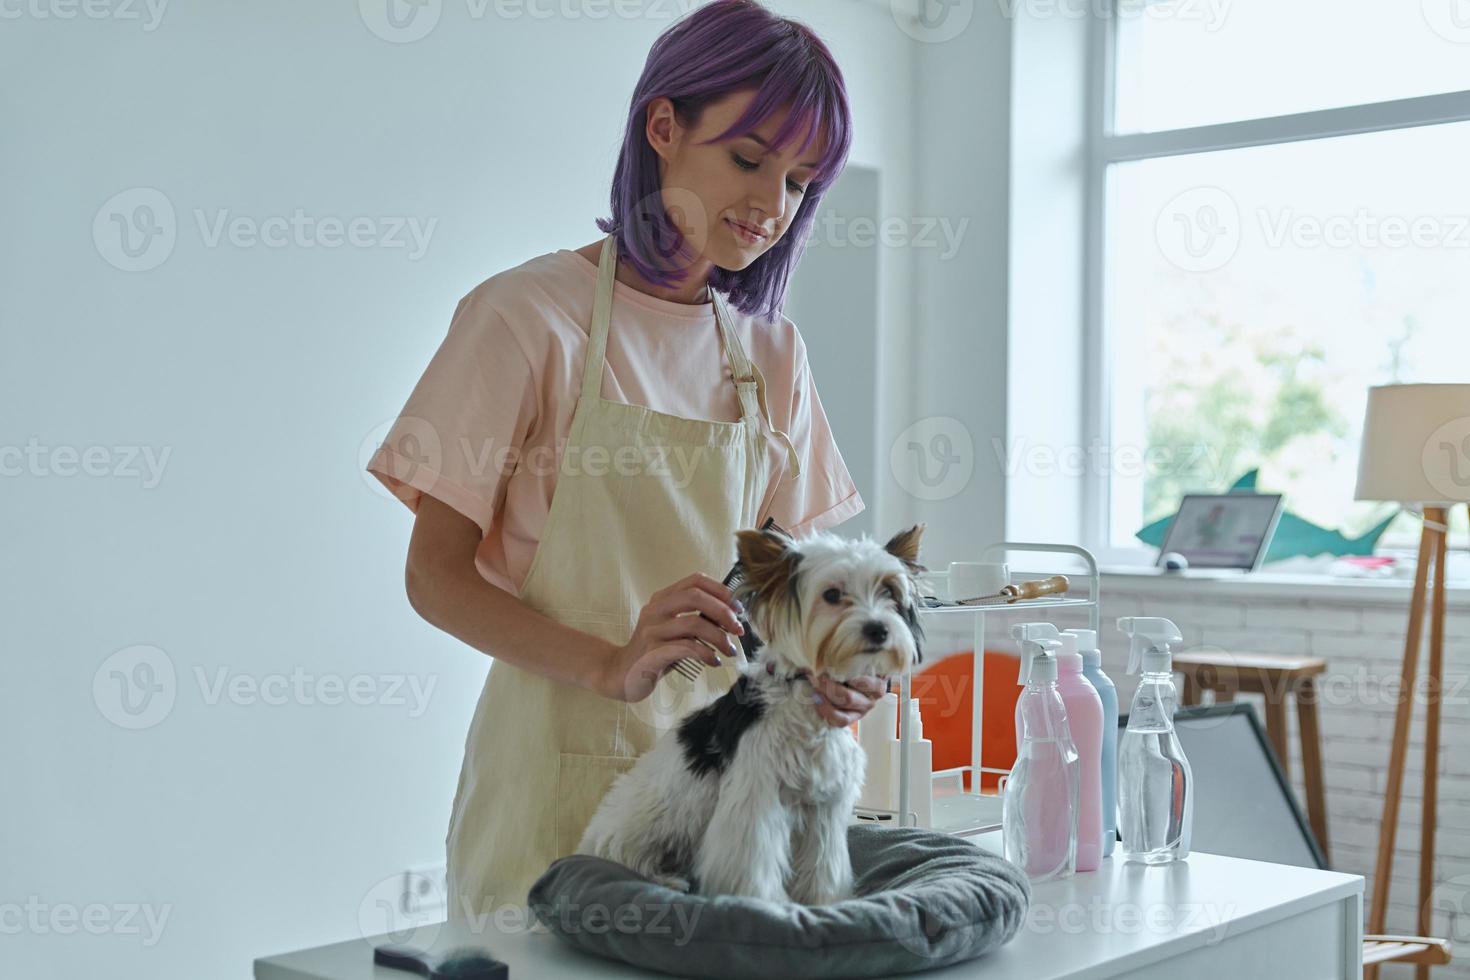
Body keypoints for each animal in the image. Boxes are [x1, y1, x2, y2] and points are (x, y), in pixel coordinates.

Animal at [579, 520, 923, 905]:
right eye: (832, 595)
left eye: (889, 591)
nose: (878, 629)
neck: (802, 693)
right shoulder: (755, 798)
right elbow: (751, 860)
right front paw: (764, 903)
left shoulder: (824, 806)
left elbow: (823, 864)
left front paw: (825, 902)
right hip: (632, 833)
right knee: (627, 857)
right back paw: (664, 879)